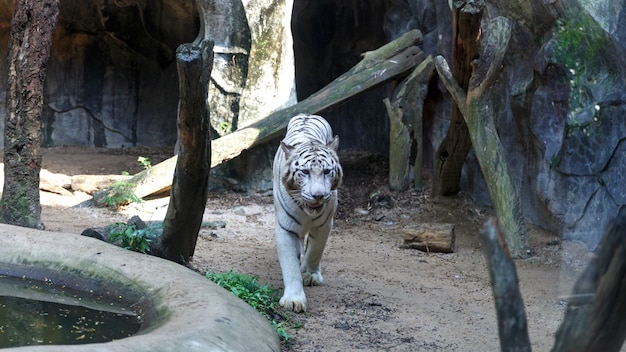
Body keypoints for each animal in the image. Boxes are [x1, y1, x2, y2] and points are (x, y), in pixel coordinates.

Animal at [272, 114, 342, 312]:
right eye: (305, 172)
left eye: (327, 171)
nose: (318, 195)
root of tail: (308, 114)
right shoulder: (286, 228)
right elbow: (290, 264)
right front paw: (294, 299)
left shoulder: (324, 225)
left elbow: (315, 250)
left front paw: (310, 275)